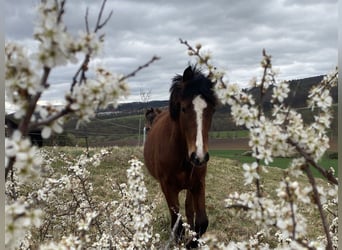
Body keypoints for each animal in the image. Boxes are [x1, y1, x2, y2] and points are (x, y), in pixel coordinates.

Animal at [143, 65, 218, 248]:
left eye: (212, 109)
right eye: (184, 108)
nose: (199, 157)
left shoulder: (198, 184)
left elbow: (202, 222)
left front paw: (192, 242)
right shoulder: (168, 187)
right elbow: (177, 224)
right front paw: (182, 240)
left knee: (189, 210)